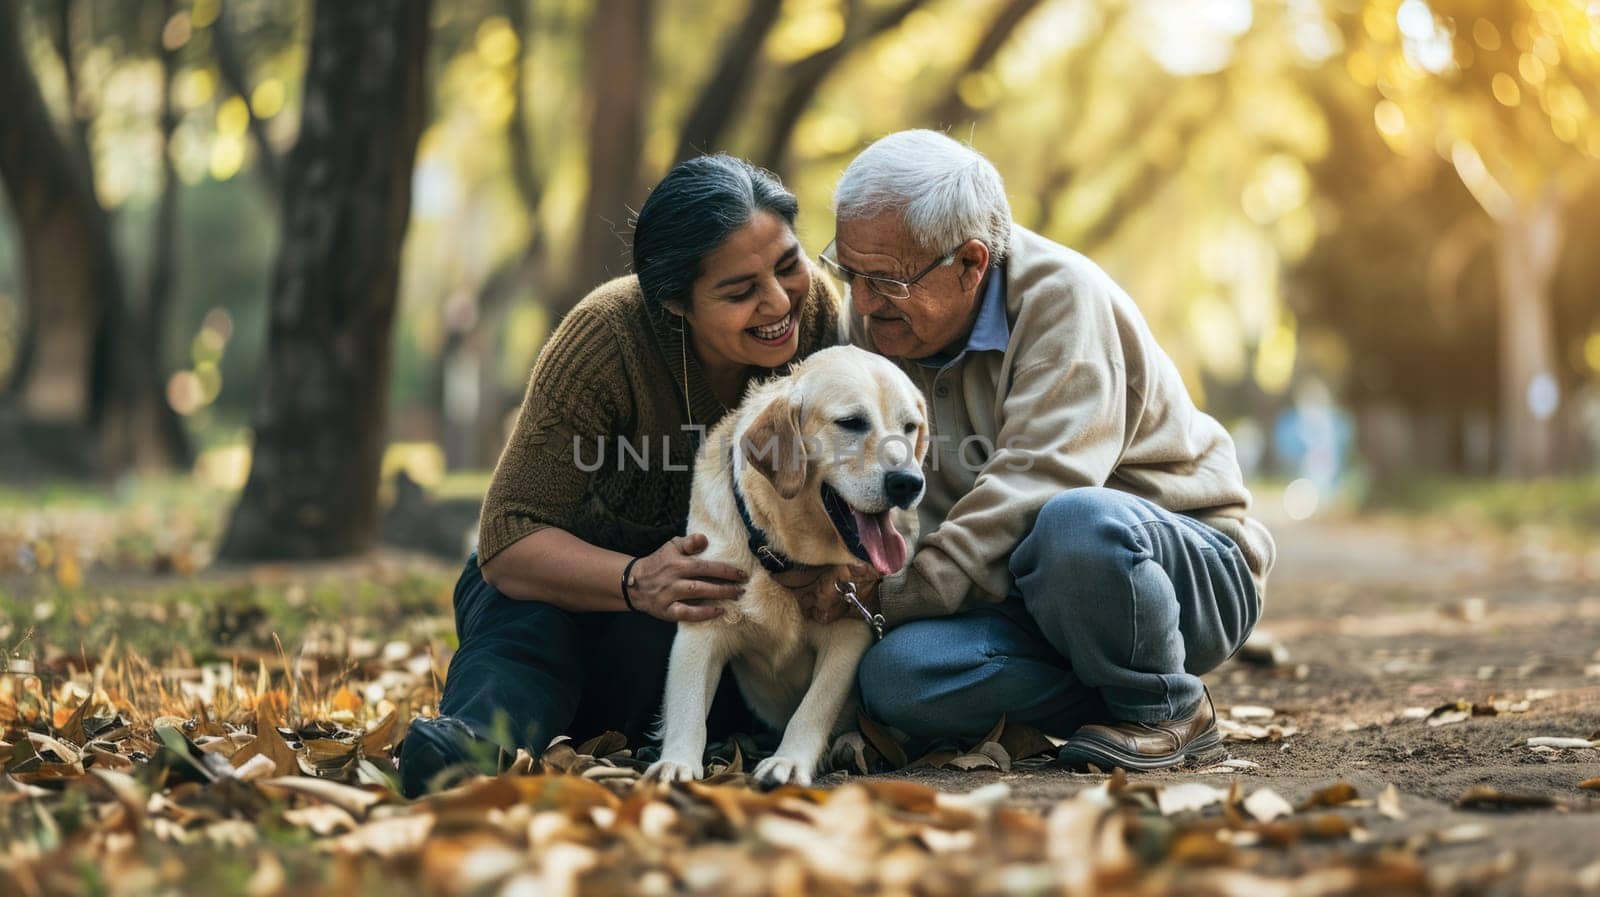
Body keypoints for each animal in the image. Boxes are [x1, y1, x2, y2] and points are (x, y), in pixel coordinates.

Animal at [646, 343, 934, 783]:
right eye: (851, 423)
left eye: (909, 427)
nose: (908, 483)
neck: (782, 553)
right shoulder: (702, 616)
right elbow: (687, 706)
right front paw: (676, 762)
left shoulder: (851, 629)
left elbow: (815, 707)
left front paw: (789, 761)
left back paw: (851, 745)